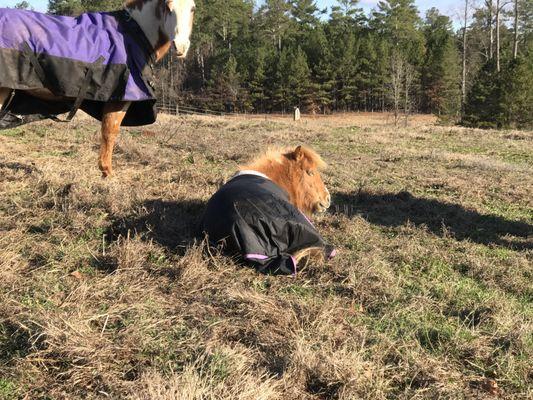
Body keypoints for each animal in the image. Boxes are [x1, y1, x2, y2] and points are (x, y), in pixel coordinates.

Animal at [0, 0, 195, 177]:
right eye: (168, 7)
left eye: (193, 8)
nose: (181, 47)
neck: (133, 33)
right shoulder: (120, 98)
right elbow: (110, 131)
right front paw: (107, 173)